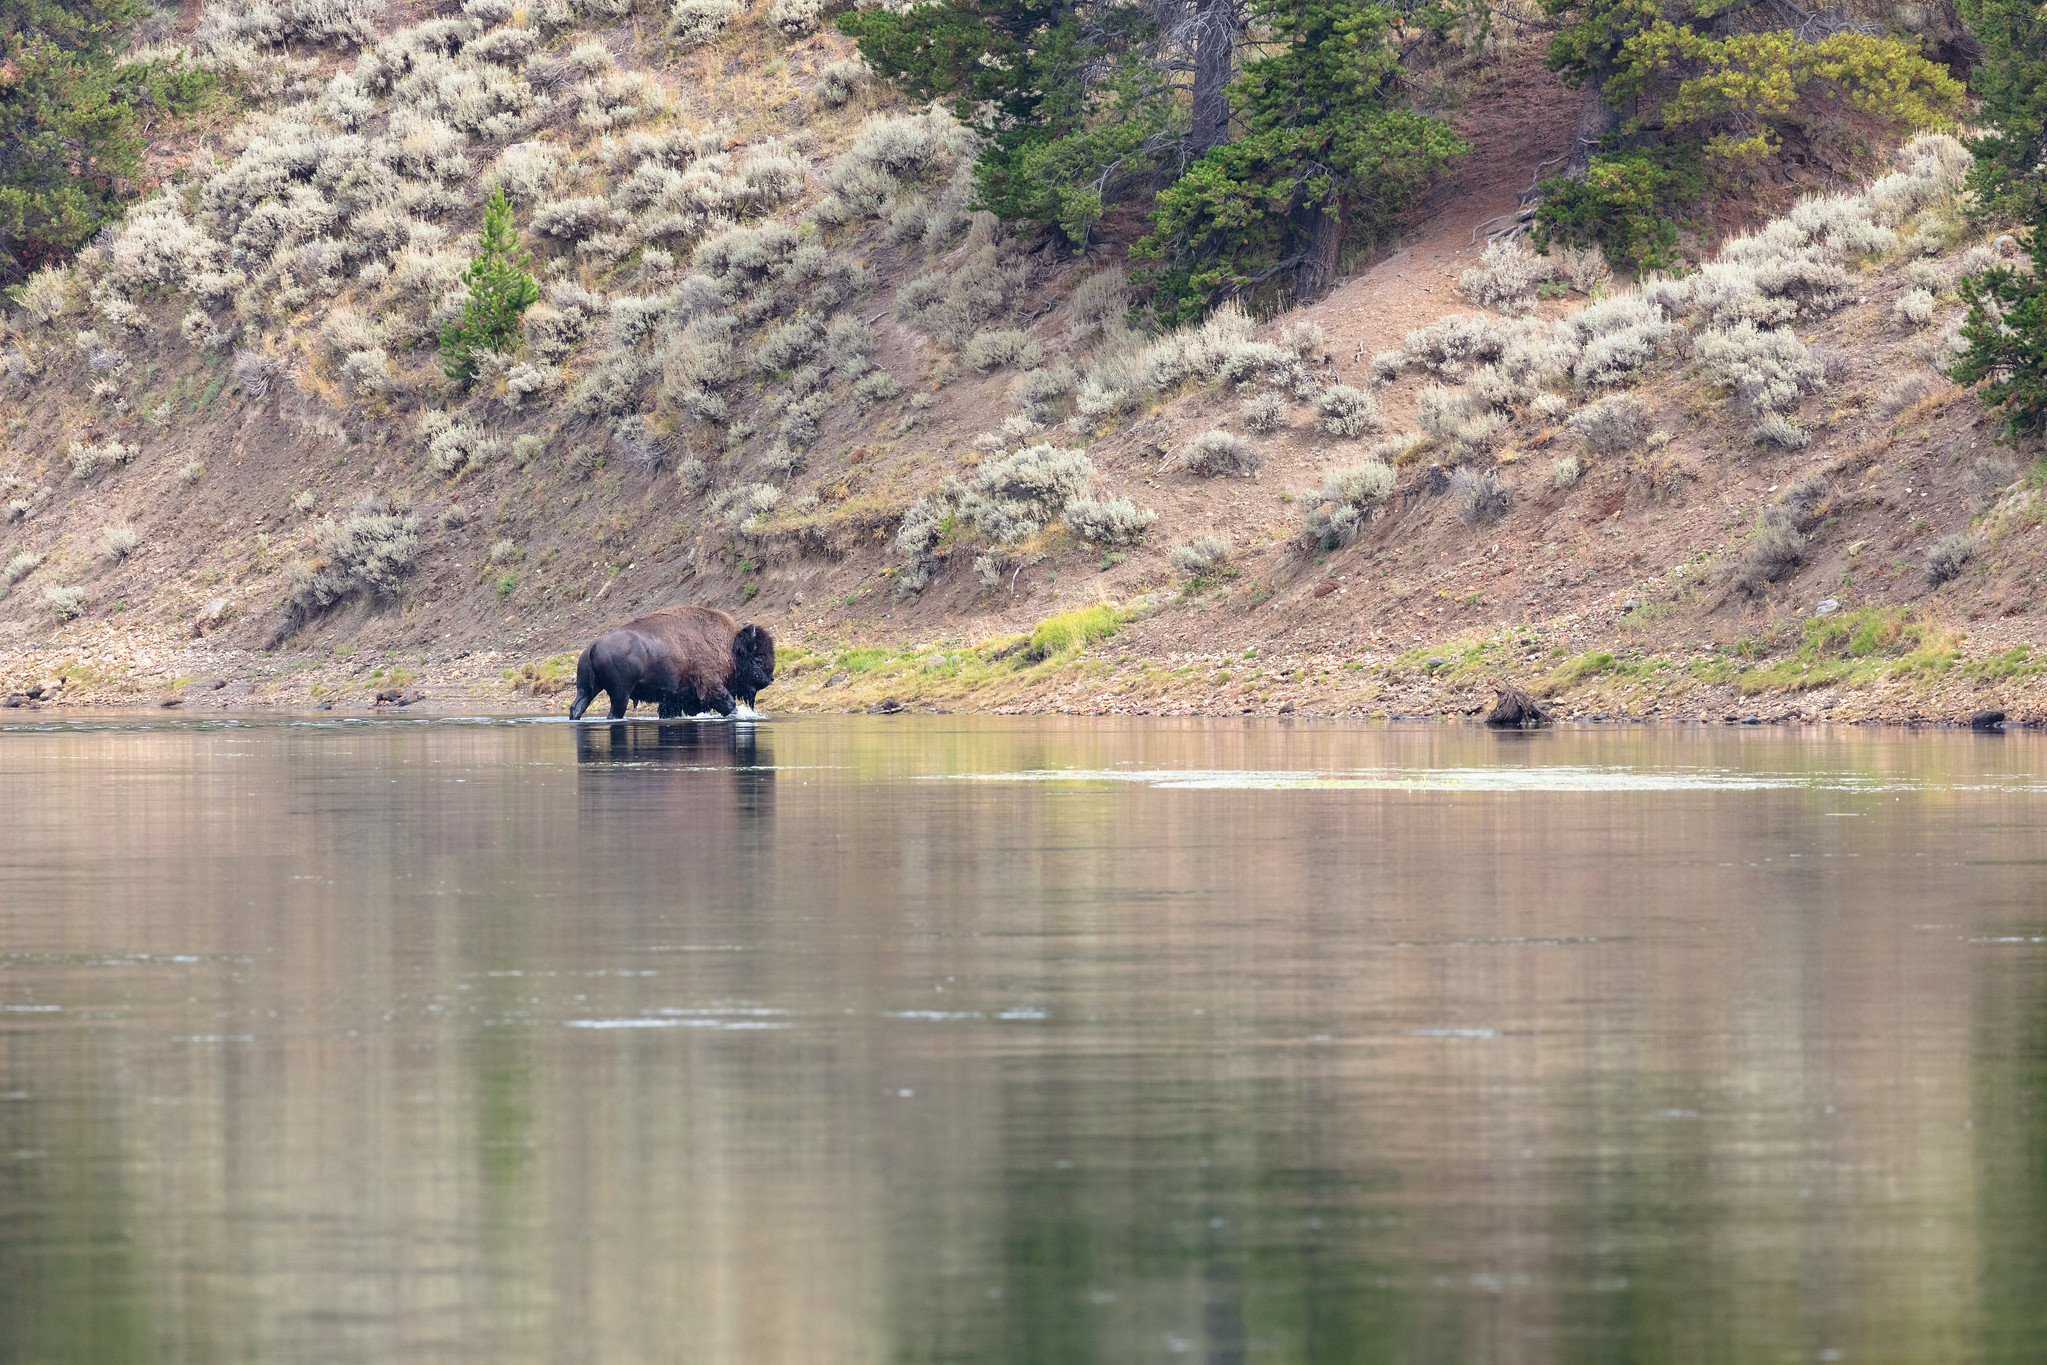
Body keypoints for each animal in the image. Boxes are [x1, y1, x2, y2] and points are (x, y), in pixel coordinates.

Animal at [569, 601, 773, 720]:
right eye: (758, 657)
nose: (769, 679)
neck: (728, 646)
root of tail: (593, 645)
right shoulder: (711, 686)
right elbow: (728, 704)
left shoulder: (676, 698)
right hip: (620, 694)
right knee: (613, 713)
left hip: (587, 689)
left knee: (577, 707)